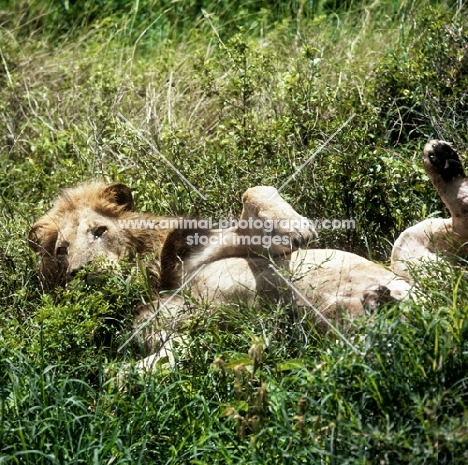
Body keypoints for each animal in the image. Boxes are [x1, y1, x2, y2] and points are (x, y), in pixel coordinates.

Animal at [28, 179, 410, 364]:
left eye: (99, 230)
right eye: (61, 250)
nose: (81, 272)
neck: (148, 277)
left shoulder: (239, 247)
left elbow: (253, 192)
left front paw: (299, 227)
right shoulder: (161, 331)